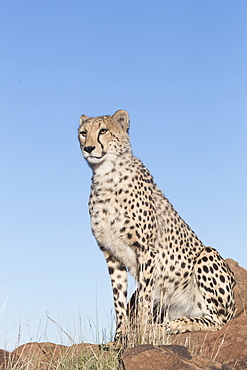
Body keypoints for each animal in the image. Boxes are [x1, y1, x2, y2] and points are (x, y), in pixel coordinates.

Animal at [77, 110, 235, 344]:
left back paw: (176, 325)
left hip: (208, 255)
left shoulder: (146, 250)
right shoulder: (111, 254)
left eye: (103, 131)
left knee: (218, 320)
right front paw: (120, 337)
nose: (88, 148)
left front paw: (142, 332)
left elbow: (144, 295)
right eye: (83, 133)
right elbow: (118, 299)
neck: (106, 175)